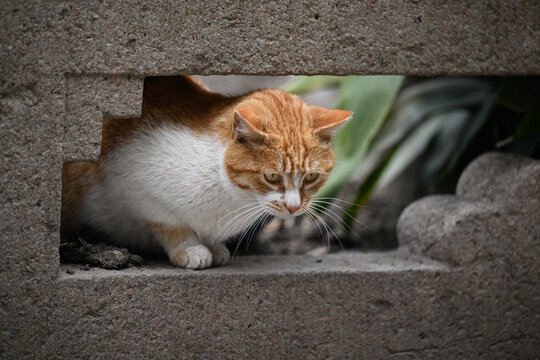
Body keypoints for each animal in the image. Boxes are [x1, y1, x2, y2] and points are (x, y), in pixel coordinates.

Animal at [61, 76, 352, 268]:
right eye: (272, 177)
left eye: (311, 177)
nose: (294, 208)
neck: (230, 196)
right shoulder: (131, 182)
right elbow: (169, 222)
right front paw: (190, 248)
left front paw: (213, 246)